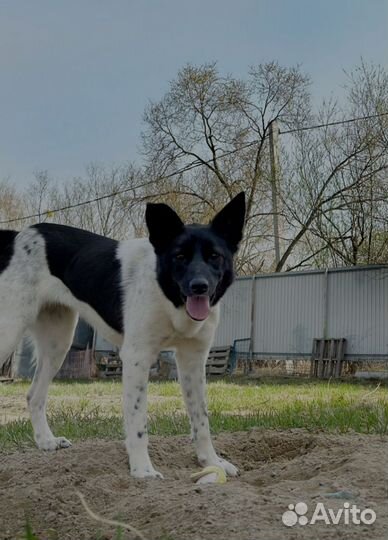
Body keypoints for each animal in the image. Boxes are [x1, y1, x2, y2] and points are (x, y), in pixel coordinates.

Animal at [0, 193, 246, 476]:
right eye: (180, 256)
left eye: (215, 256)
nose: (199, 287)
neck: (168, 296)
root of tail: (18, 235)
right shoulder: (136, 358)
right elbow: (138, 421)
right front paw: (142, 470)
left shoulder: (193, 360)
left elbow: (201, 419)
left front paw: (212, 462)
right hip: (9, 330)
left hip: (57, 343)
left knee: (34, 395)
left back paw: (46, 442)